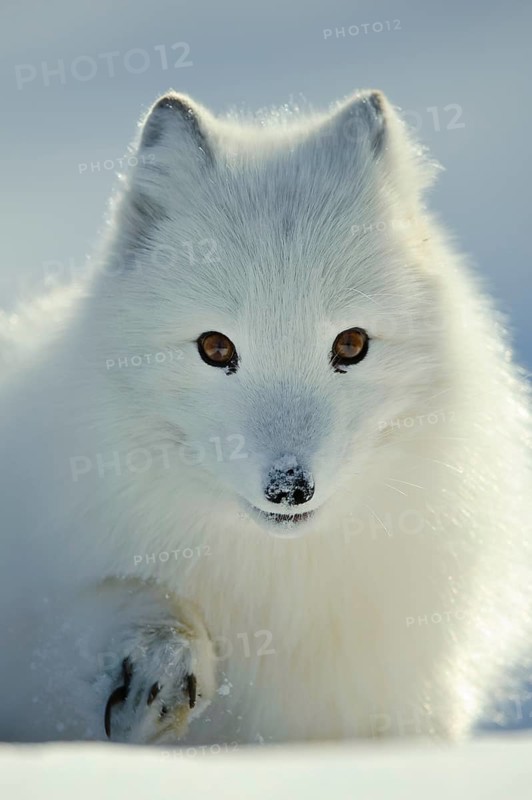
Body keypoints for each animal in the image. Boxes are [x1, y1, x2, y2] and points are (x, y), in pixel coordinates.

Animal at [0, 89, 530, 745]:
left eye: (351, 344)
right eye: (215, 347)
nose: (289, 488)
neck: (278, 583)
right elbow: (103, 605)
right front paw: (158, 656)